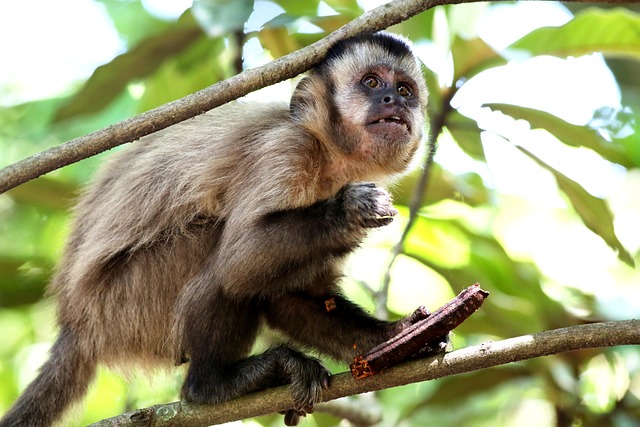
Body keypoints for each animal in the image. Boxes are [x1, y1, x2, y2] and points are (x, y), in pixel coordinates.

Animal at [1, 31, 442, 427]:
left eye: (405, 89)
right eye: (372, 82)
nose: (393, 100)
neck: (328, 155)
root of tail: (74, 325)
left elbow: (294, 300)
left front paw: (401, 336)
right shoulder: (284, 149)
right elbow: (241, 264)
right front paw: (349, 209)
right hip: (125, 308)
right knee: (216, 254)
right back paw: (212, 386)